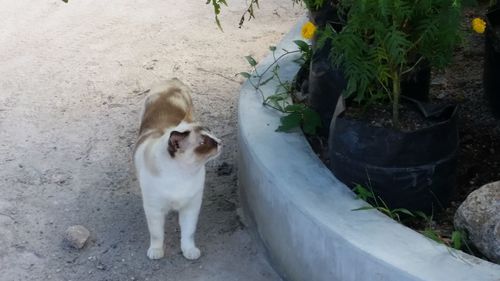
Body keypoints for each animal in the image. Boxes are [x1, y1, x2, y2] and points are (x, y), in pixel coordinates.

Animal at [133, 78, 221, 258]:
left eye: (210, 133)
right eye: (204, 143)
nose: (220, 142)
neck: (182, 175)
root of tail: (172, 81)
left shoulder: (191, 207)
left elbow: (188, 233)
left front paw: (190, 252)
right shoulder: (154, 210)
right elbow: (156, 234)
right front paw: (156, 252)